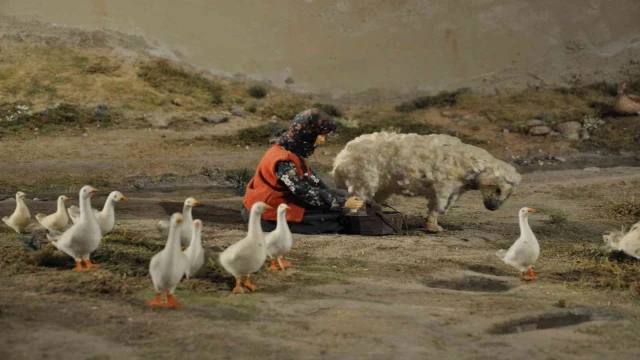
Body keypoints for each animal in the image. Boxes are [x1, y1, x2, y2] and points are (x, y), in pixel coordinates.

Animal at [332, 131, 524, 232]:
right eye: (498, 190)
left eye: (508, 195)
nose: (493, 207)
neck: (469, 164)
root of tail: (341, 158)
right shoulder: (444, 186)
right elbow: (438, 206)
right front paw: (433, 227)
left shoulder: (453, 190)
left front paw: (432, 223)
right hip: (362, 180)